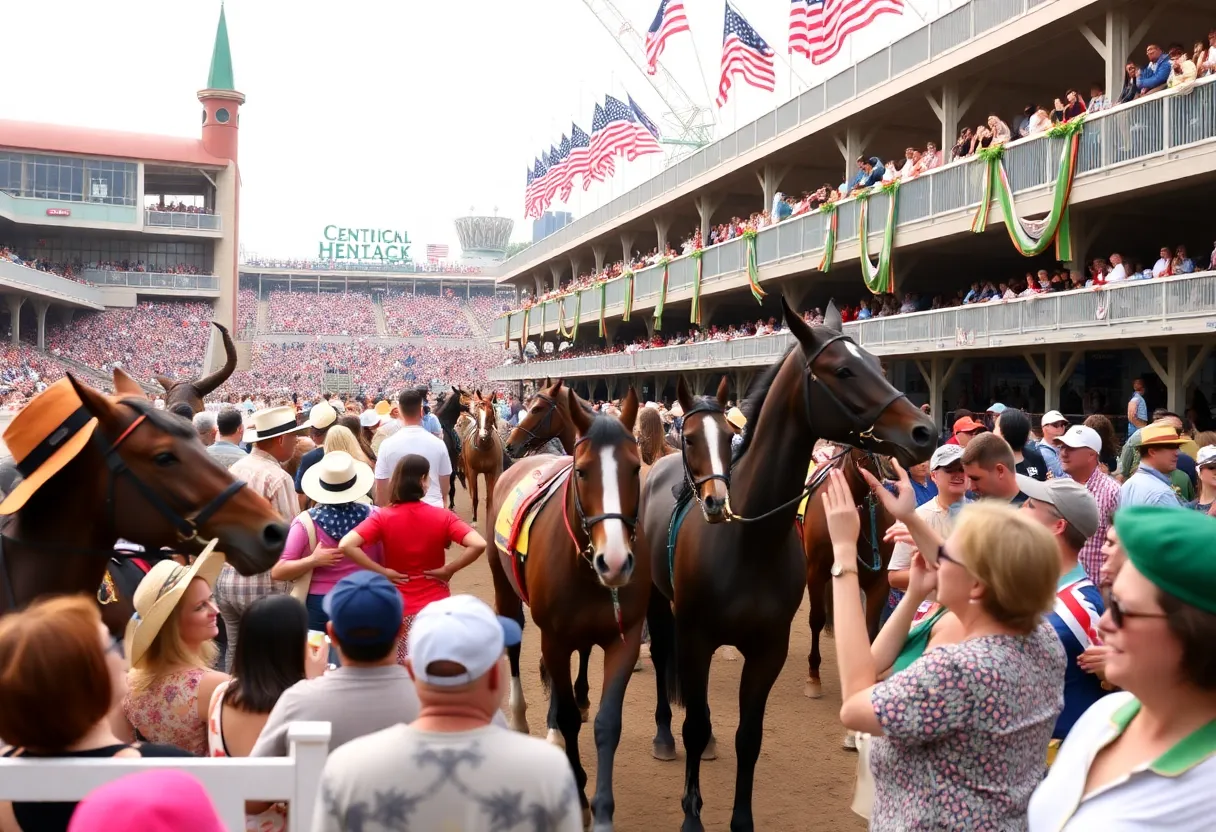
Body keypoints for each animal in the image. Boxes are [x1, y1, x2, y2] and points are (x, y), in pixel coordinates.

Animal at [462, 391, 505, 525]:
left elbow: (491, 498)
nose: (483, 435)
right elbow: (475, 496)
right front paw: (474, 519)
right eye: (476, 414)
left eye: (491, 413)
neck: (483, 448)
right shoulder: (472, 471)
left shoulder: (493, 471)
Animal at [491, 389, 651, 832]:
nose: (615, 562)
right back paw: (521, 717)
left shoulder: (624, 636)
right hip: (505, 591)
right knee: (514, 645)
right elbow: (566, 718)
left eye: (635, 468)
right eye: (581, 472)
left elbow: (606, 723)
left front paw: (604, 809)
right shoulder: (555, 637)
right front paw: (578, 796)